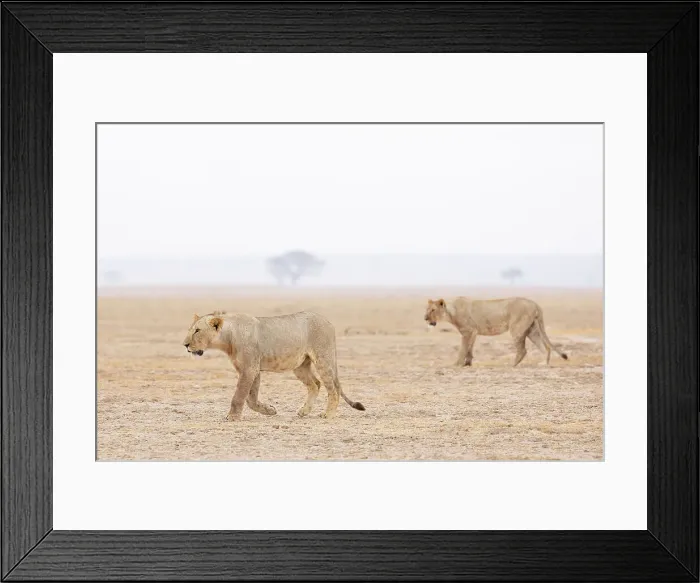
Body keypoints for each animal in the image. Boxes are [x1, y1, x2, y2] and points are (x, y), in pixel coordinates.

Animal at [182, 310, 365, 421]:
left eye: (197, 330)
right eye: (191, 329)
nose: (185, 345)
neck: (228, 338)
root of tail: (327, 320)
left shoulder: (249, 369)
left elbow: (239, 396)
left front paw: (232, 417)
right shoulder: (252, 370)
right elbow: (251, 399)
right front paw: (269, 410)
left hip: (323, 358)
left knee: (332, 389)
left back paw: (328, 413)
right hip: (300, 366)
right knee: (315, 384)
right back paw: (304, 411)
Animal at [424, 297, 568, 367]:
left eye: (432, 310)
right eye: (427, 309)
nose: (425, 318)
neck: (451, 311)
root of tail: (535, 303)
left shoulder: (467, 331)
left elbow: (463, 349)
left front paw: (457, 364)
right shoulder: (473, 332)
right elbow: (470, 349)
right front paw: (467, 363)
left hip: (517, 328)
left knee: (522, 350)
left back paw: (512, 365)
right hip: (532, 330)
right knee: (545, 348)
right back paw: (544, 364)